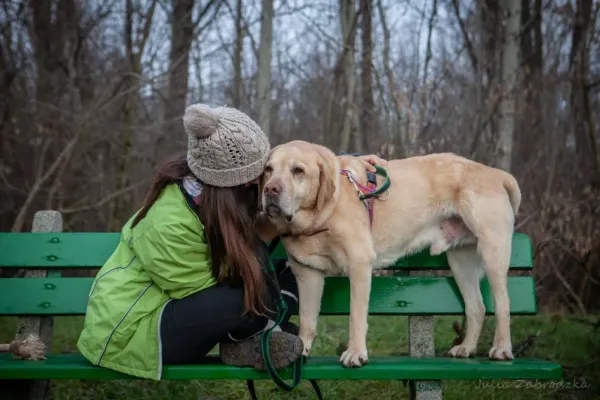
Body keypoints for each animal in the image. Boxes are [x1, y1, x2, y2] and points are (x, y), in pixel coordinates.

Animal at [262, 139, 520, 368]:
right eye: (268, 169)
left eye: (298, 171)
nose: (270, 189)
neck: (319, 219)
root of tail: (495, 173)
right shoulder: (307, 273)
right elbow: (307, 319)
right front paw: (300, 350)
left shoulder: (359, 264)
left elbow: (356, 317)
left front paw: (355, 353)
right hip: (460, 261)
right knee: (477, 307)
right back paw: (467, 348)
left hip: (493, 250)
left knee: (503, 302)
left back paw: (501, 349)